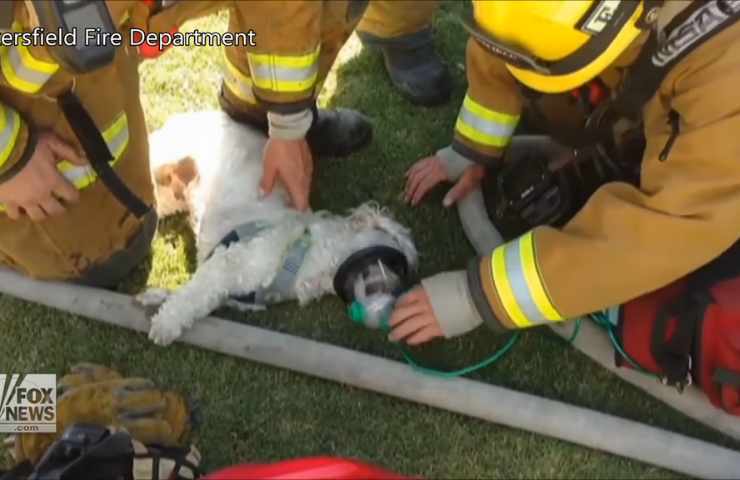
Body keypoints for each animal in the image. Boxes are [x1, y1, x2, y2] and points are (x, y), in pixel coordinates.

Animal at [142, 111, 420, 344]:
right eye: (398, 264)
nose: (393, 312)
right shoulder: (228, 262)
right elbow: (190, 298)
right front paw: (165, 324)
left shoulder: (226, 289)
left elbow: (194, 297)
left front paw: (154, 298)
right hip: (164, 155)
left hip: (169, 193)